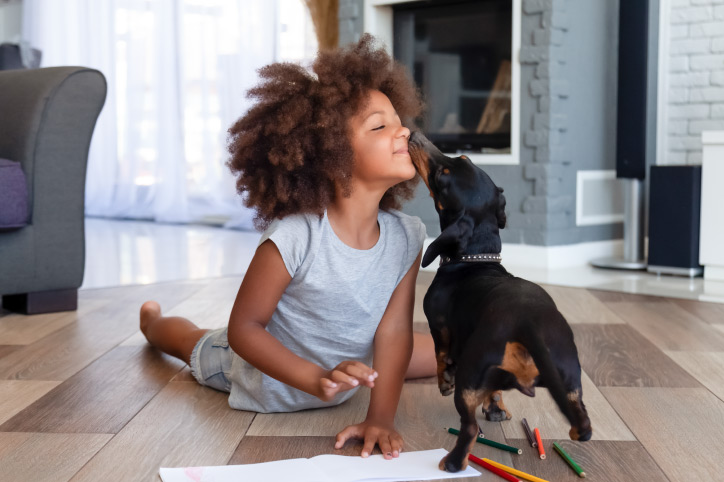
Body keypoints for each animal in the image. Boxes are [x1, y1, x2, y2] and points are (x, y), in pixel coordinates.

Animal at [410, 131, 592, 470]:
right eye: (463, 158)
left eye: (442, 176)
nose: (414, 135)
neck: (477, 258)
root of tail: (527, 325)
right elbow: (494, 391)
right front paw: (496, 408)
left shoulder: (438, 326)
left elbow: (441, 355)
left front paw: (444, 380)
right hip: (571, 380)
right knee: (583, 422)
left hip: (469, 377)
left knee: (469, 427)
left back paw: (453, 462)